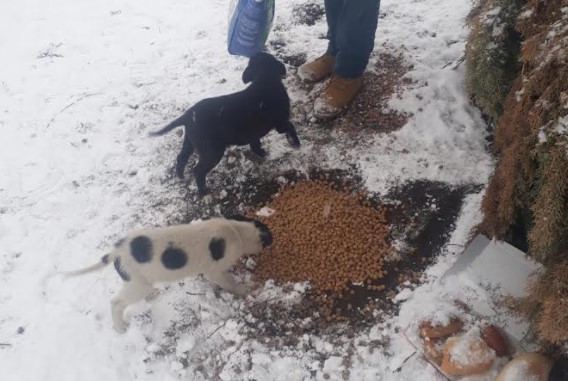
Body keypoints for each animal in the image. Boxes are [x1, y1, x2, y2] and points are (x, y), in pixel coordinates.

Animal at [63, 217, 272, 332]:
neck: (236, 231)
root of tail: (116, 251)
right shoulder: (215, 272)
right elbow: (230, 282)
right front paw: (245, 291)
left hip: (137, 282)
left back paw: (152, 295)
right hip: (137, 285)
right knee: (116, 303)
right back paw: (120, 328)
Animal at [151, 52, 302, 197]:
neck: (264, 80)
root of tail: (188, 114)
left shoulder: (254, 133)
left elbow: (255, 144)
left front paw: (261, 153)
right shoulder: (280, 122)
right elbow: (291, 127)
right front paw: (295, 142)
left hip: (190, 141)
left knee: (181, 157)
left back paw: (181, 177)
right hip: (212, 150)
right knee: (198, 170)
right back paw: (204, 194)